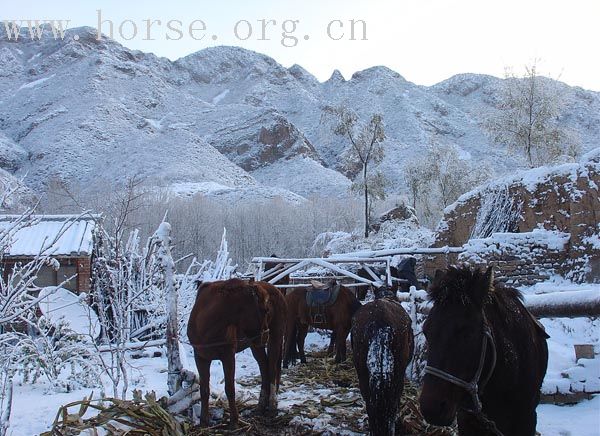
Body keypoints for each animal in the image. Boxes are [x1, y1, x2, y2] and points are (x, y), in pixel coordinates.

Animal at [189, 278, 290, 428]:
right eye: (265, 310)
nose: (265, 335)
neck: (205, 324)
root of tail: (277, 290)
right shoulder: (200, 358)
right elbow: (204, 390)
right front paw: (203, 422)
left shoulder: (228, 357)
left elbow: (230, 388)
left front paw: (234, 421)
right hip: (255, 344)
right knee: (264, 367)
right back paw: (261, 405)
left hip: (275, 338)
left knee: (271, 369)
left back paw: (272, 405)